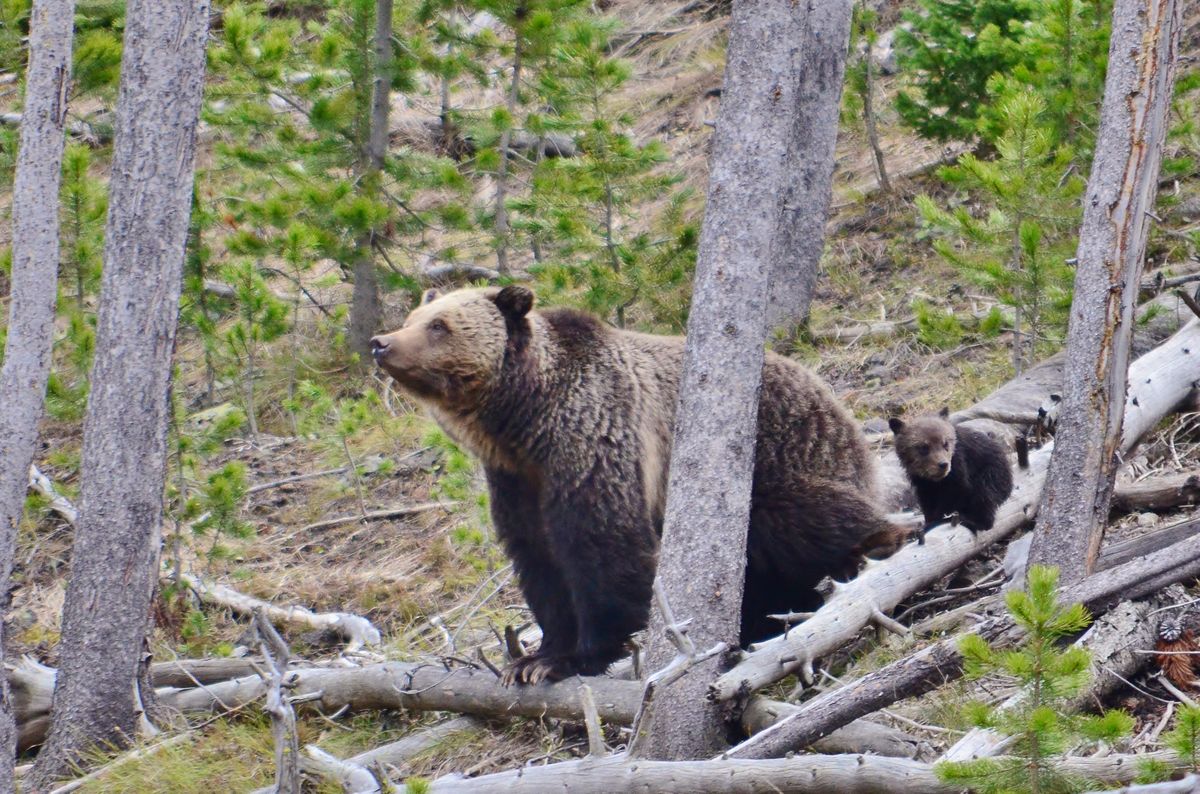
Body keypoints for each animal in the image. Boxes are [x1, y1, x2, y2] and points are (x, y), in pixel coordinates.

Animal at [369, 289, 902, 686]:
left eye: (439, 325)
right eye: (414, 316)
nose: (381, 342)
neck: (525, 422)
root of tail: (838, 407)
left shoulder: (595, 437)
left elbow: (602, 544)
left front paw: (578, 656)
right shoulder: (517, 481)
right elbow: (539, 560)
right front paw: (531, 659)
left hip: (781, 454)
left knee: (800, 518)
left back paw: (873, 548)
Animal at [892, 410, 1012, 542]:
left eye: (945, 443)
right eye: (924, 447)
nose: (943, 464)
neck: (936, 480)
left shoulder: (959, 466)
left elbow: (958, 489)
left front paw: (936, 520)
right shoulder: (921, 481)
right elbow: (927, 501)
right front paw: (928, 522)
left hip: (992, 473)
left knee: (985, 495)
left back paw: (973, 521)